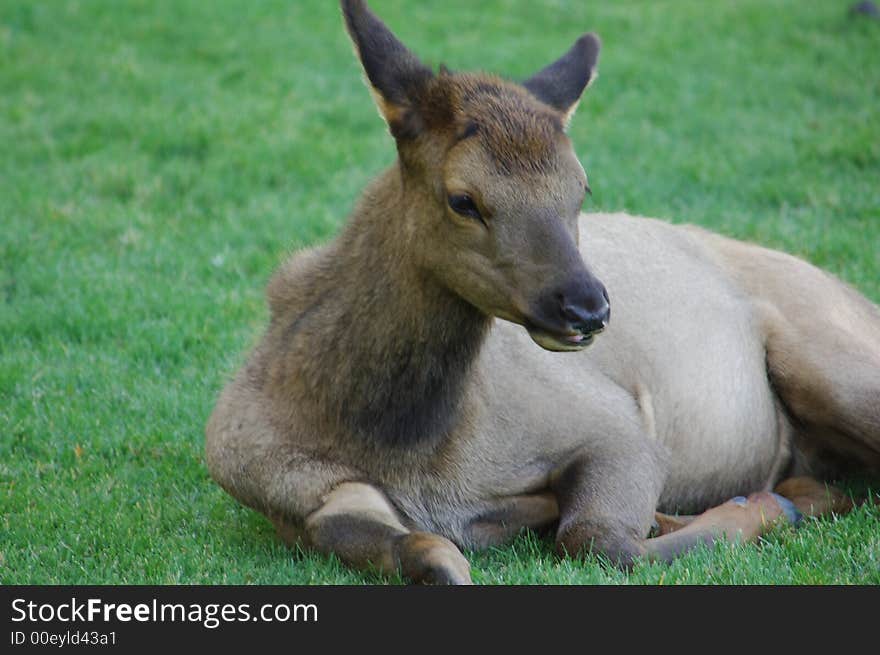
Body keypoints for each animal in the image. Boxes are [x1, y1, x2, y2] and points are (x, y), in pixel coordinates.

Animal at [205, 0, 880, 584]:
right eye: (463, 199)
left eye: (580, 188)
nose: (588, 307)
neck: (412, 451)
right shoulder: (291, 489)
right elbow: (424, 551)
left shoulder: (618, 426)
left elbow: (599, 541)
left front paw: (764, 506)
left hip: (835, 360)